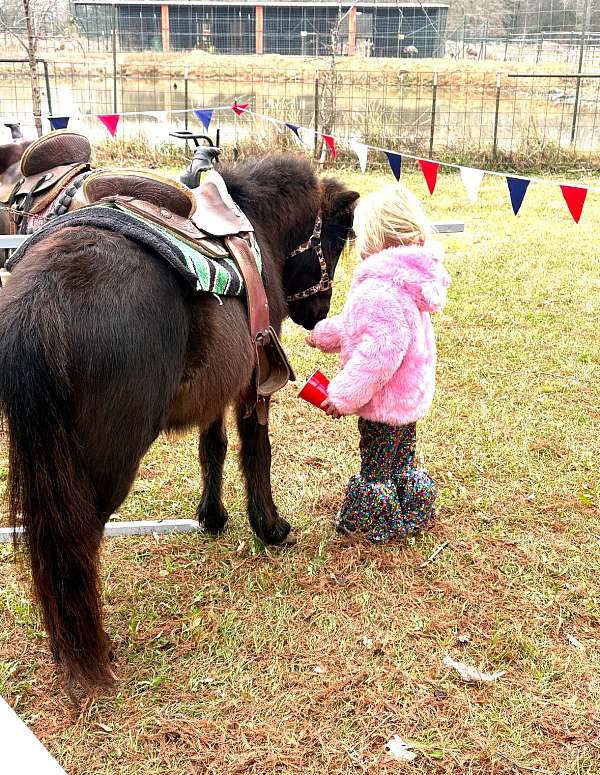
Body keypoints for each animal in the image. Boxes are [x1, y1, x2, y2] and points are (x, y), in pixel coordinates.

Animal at [0, 152, 359, 695]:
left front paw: (212, 517)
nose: (318, 314)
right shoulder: (253, 382)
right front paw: (269, 526)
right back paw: (92, 648)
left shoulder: (218, 387)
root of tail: (42, 295)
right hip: (104, 469)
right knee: (76, 546)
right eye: (335, 241)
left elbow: (212, 447)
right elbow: (256, 450)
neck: (254, 226)